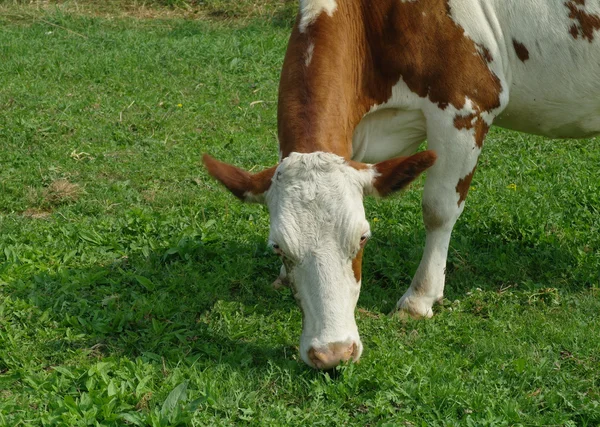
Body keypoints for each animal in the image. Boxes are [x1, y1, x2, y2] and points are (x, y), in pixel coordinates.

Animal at [203, 0, 600, 372]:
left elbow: (438, 210)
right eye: (278, 247)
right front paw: (284, 277)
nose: (333, 353)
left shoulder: (465, 106)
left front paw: (419, 298)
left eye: (363, 238)